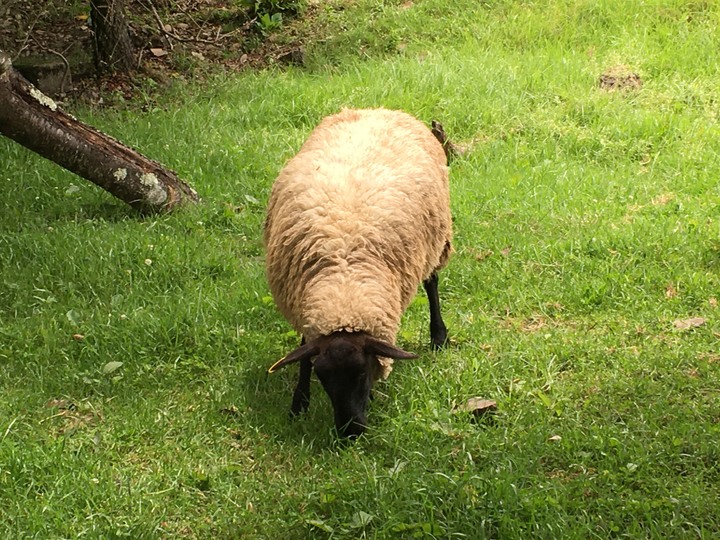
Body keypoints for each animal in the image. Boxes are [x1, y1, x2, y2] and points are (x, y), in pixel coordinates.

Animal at [264, 106, 452, 438]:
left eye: (363, 372)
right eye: (323, 376)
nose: (350, 431)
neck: (345, 283)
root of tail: (378, 109)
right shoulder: (309, 307)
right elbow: (303, 353)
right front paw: (299, 403)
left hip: (435, 238)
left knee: (432, 281)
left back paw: (438, 336)